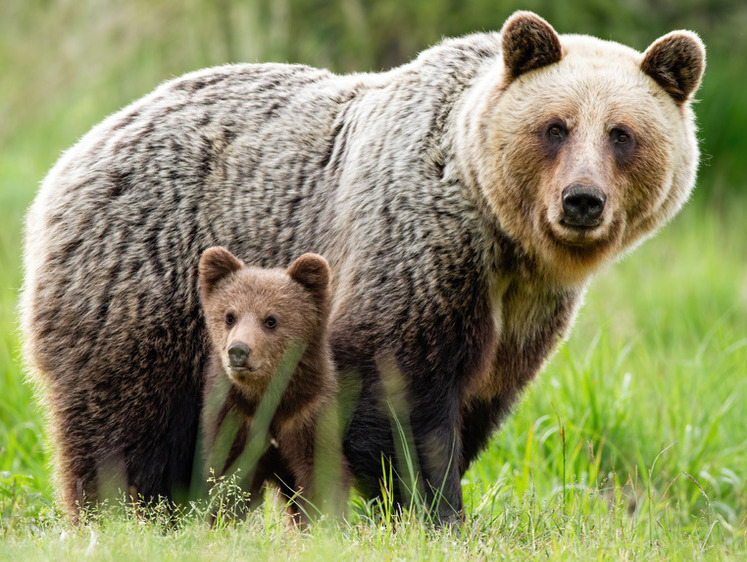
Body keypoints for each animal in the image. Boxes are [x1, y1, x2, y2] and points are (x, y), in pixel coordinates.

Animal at [197, 245, 350, 520]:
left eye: (271, 319)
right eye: (229, 316)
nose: (238, 351)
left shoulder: (307, 415)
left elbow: (320, 476)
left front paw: (323, 520)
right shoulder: (235, 418)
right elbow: (229, 478)